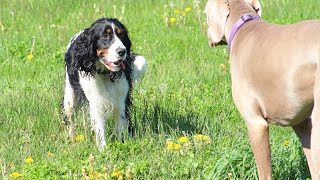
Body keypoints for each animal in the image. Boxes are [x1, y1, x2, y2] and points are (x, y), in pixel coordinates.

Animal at [62, 18, 146, 150]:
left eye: (121, 34)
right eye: (105, 36)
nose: (122, 51)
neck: (106, 74)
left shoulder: (121, 100)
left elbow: (120, 124)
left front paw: (122, 143)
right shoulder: (96, 101)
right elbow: (99, 127)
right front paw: (103, 149)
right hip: (70, 98)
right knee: (70, 118)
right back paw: (72, 138)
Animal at [205, 0, 320, 179]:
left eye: (204, 13)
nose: (207, 35)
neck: (243, 24)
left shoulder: (256, 124)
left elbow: (264, 173)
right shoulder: (303, 124)